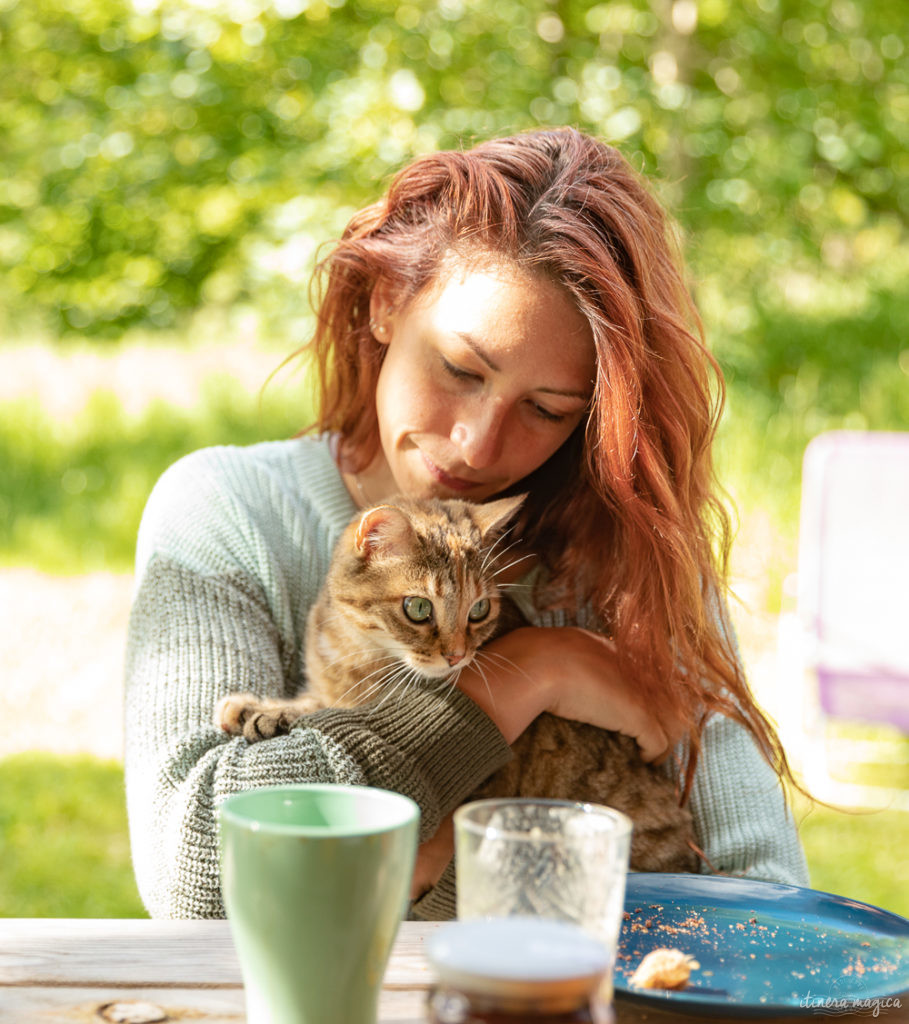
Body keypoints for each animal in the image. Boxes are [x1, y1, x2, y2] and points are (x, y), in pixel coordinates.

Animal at [217, 495, 700, 872]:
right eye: (417, 608)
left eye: (479, 609)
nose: (457, 655)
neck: (357, 651)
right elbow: (317, 702)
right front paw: (258, 708)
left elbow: (335, 710)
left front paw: (270, 711)